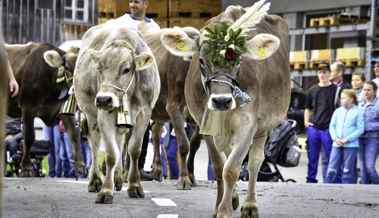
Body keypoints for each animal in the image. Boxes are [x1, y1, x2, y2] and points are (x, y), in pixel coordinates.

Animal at [5, 42, 86, 177]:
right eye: (67, 67)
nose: (76, 89)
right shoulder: (27, 107)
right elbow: (29, 138)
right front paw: (26, 168)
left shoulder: (63, 109)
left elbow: (74, 136)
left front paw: (80, 165)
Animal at [161, 0, 290, 217]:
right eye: (201, 60)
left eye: (239, 60)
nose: (221, 101)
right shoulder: (205, 123)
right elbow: (219, 166)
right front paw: (220, 206)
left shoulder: (249, 124)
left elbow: (232, 169)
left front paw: (224, 210)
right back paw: (235, 198)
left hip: (264, 128)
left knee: (255, 163)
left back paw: (249, 204)